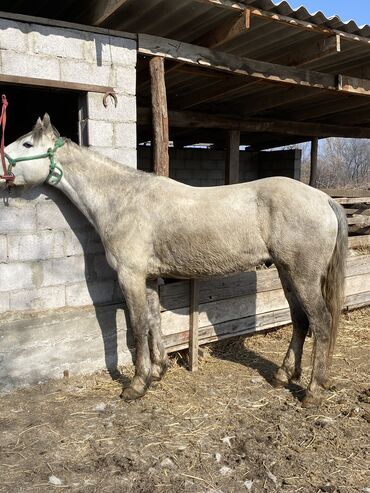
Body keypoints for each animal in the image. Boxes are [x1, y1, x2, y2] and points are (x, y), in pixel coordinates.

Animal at [3, 113, 346, 406]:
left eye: (27, 144)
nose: (2, 167)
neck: (123, 200)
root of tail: (324, 199)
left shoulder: (130, 275)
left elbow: (137, 325)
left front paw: (136, 385)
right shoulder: (148, 277)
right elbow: (154, 320)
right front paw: (158, 371)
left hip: (302, 275)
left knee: (321, 321)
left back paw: (312, 391)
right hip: (287, 272)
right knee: (301, 320)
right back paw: (283, 375)